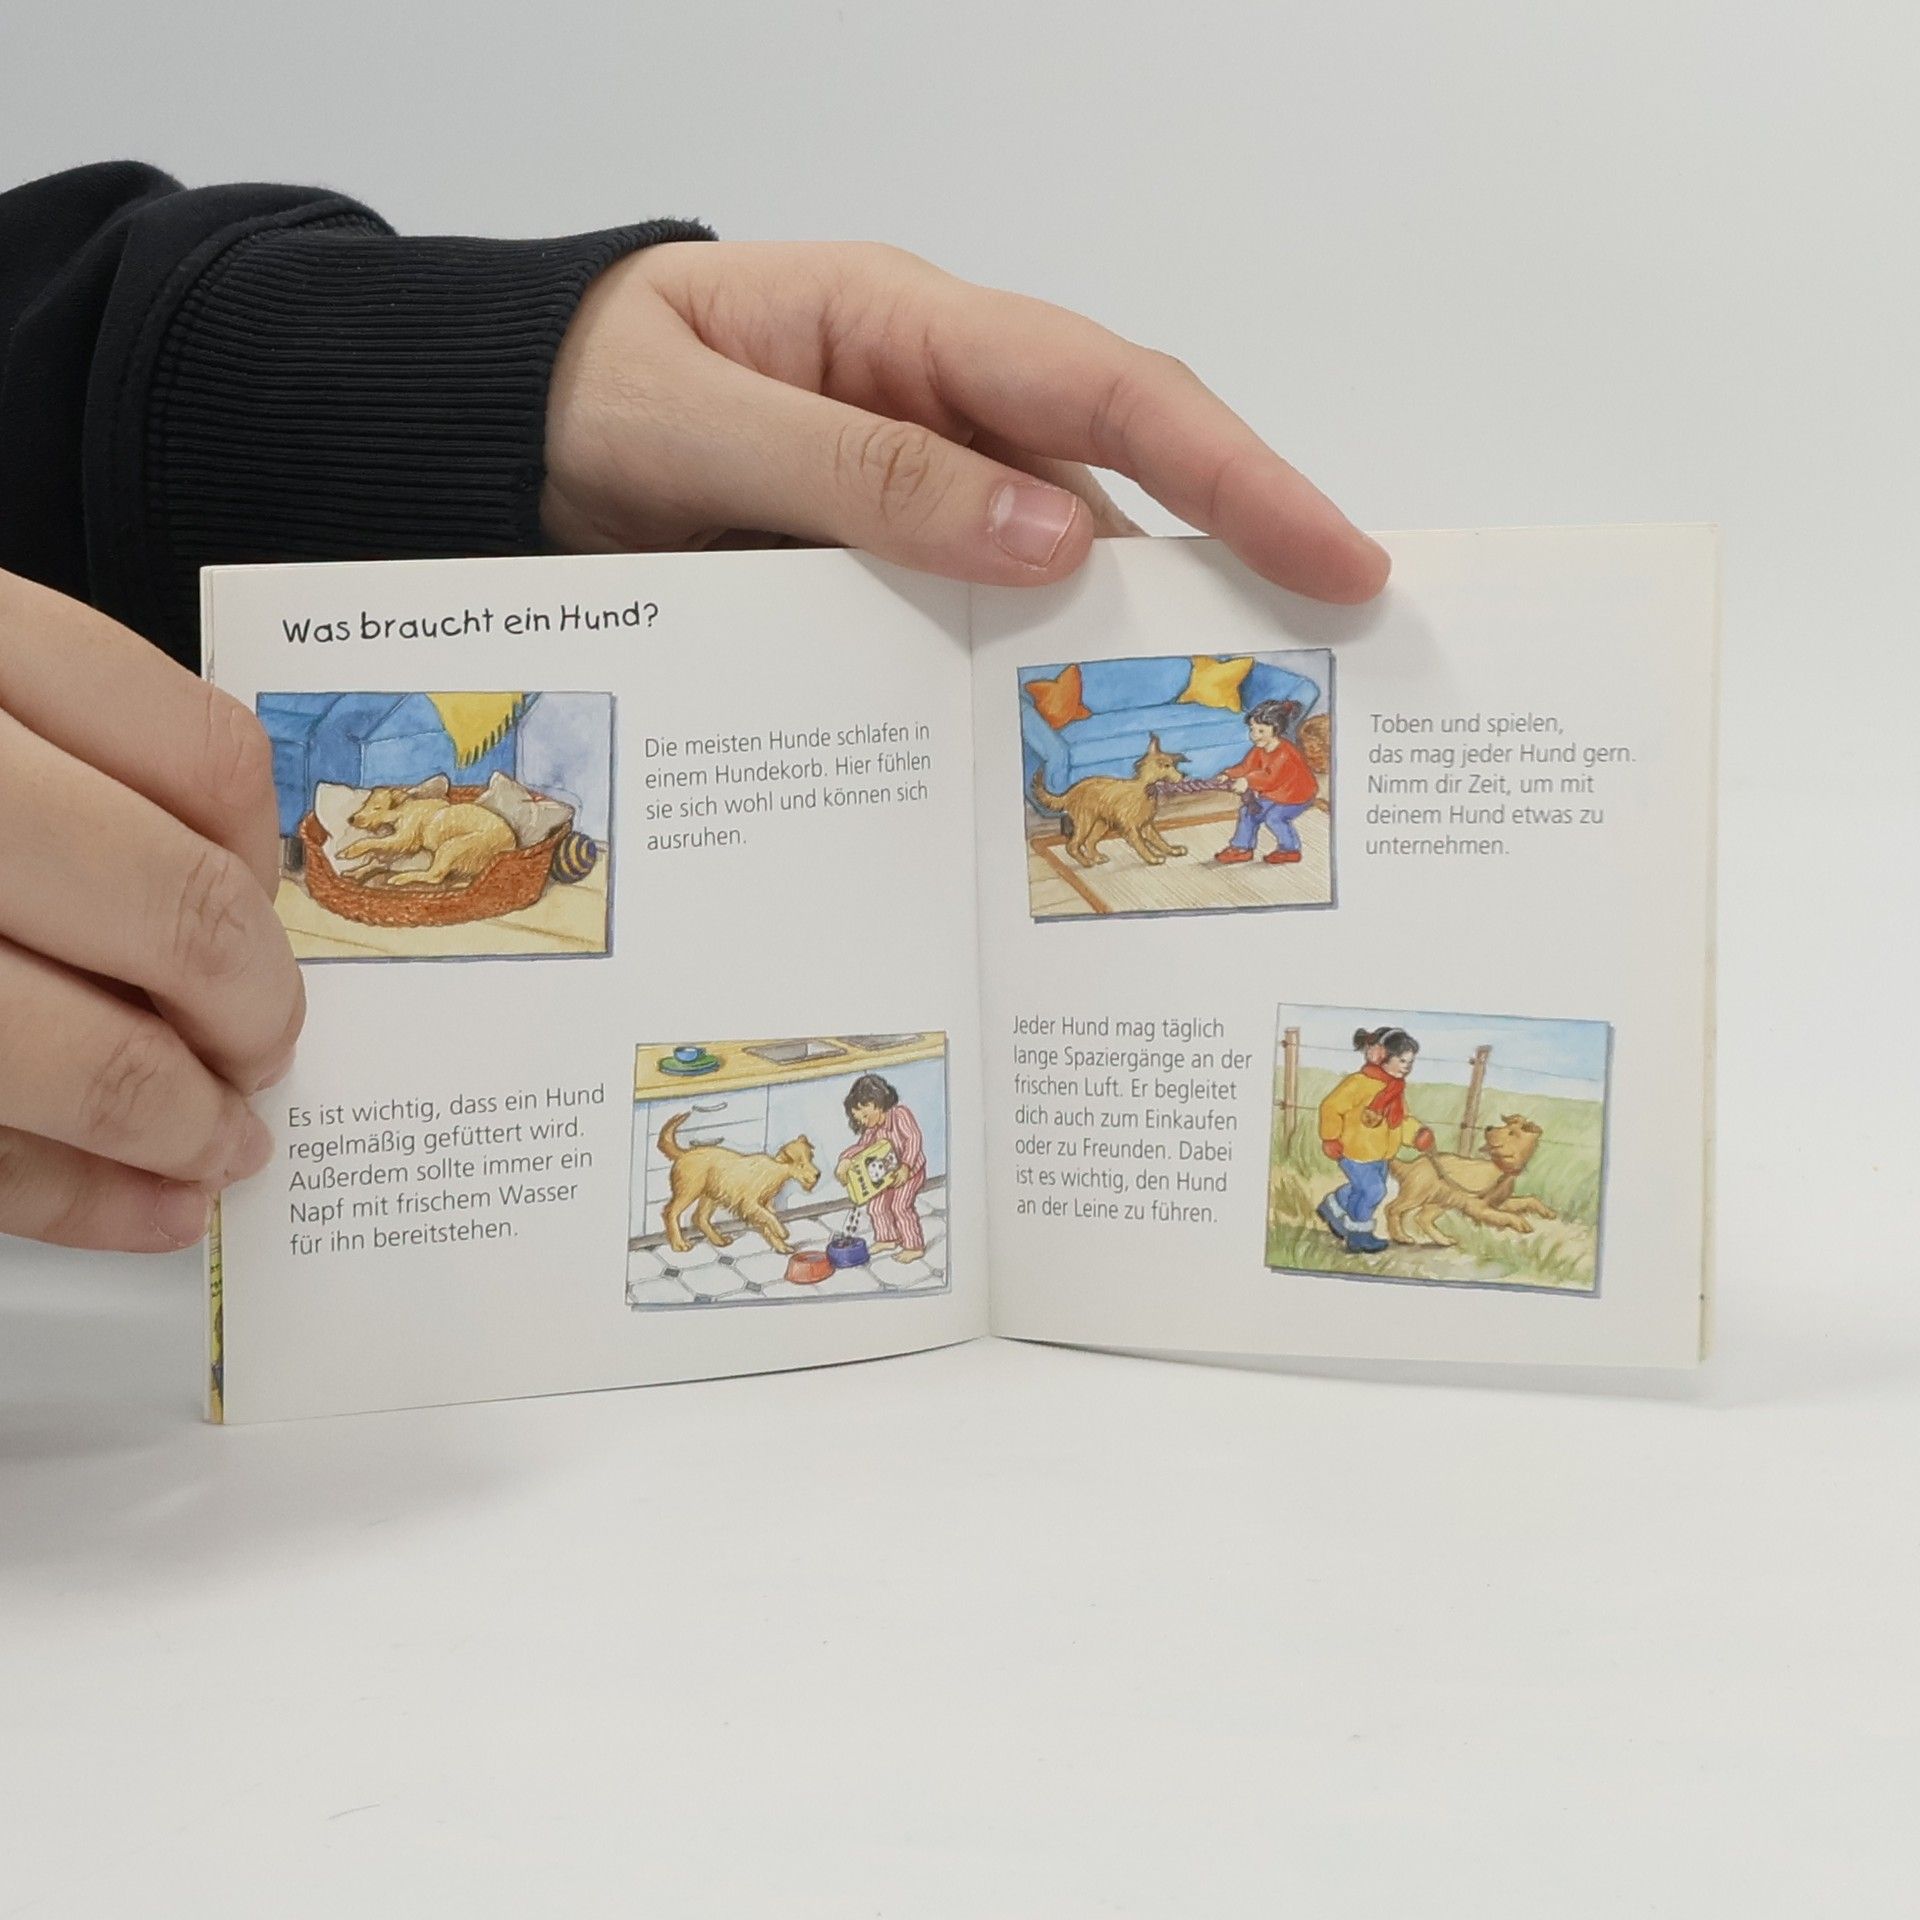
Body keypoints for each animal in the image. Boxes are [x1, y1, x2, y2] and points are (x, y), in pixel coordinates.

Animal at [335, 778, 517, 889]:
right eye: (365, 804)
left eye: (377, 807)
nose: (351, 819)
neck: (404, 809)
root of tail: (511, 847)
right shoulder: (401, 846)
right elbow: (376, 858)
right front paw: (355, 871)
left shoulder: (403, 840)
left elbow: (370, 842)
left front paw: (348, 852)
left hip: (452, 846)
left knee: (434, 876)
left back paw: (401, 878)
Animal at [656, 1111, 821, 1256]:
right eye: (801, 1165)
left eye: (811, 1158)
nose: (818, 1175)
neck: (774, 1171)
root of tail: (684, 1153)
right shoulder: (750, 1203)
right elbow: (770, 1218)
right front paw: (782, 1232)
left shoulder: (761, 1206)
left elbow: (767, 1223)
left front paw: (782, 1246)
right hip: (689, 1191)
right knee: (670, 1212)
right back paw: (679, 1244)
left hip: (711, 1194)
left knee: (699, 1217)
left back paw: (719, 1240)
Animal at [1031, 736, 1191, 868]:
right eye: (1167, 766)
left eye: (1174, 765)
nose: (1184, 775)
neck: (1145, 789)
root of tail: (1070, 792)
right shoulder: (1131, 827)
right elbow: (1141, 844)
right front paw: (1153, 858)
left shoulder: (1147, 825)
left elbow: (1159, 841)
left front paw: (1173, 850)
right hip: (1085, 822)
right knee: (1072, 845)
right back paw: (1086, 862)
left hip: (1101, 823)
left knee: (1089, 841)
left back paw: (1097, 858)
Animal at [1383, 1114, 1558, 1247]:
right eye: (1504, 1126)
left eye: (1511, 1133)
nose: (1489, 1128)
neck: (1501, 1171)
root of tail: (1412, 1164)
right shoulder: (1477, 1206)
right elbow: (1505, 1215)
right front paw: (1521, 1223)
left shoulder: (1499, 1202)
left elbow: (1529, 1200)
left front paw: (1548, 1212)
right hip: (1416, 1194)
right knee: (1392, 1208)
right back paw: (1401, 1237)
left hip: (1440, 1201)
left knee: (1422, 1218)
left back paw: (1444, 1240)